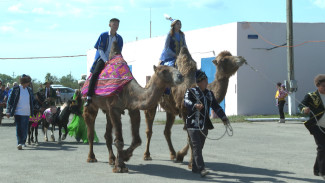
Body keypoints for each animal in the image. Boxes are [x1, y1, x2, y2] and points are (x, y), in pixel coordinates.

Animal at [82, 41, 184, 173]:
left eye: (176, 68)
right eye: (164, 71)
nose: (180, 76)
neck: (129, 91)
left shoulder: (133, 109)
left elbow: (137, 140)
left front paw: (125, 157)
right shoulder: (114, 108)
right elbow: (119, 141)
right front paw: (120, 166)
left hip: (107, 110)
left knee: (107, 135)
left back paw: (111, 159)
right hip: (91, 104)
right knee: (90, 130)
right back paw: (91, 158)